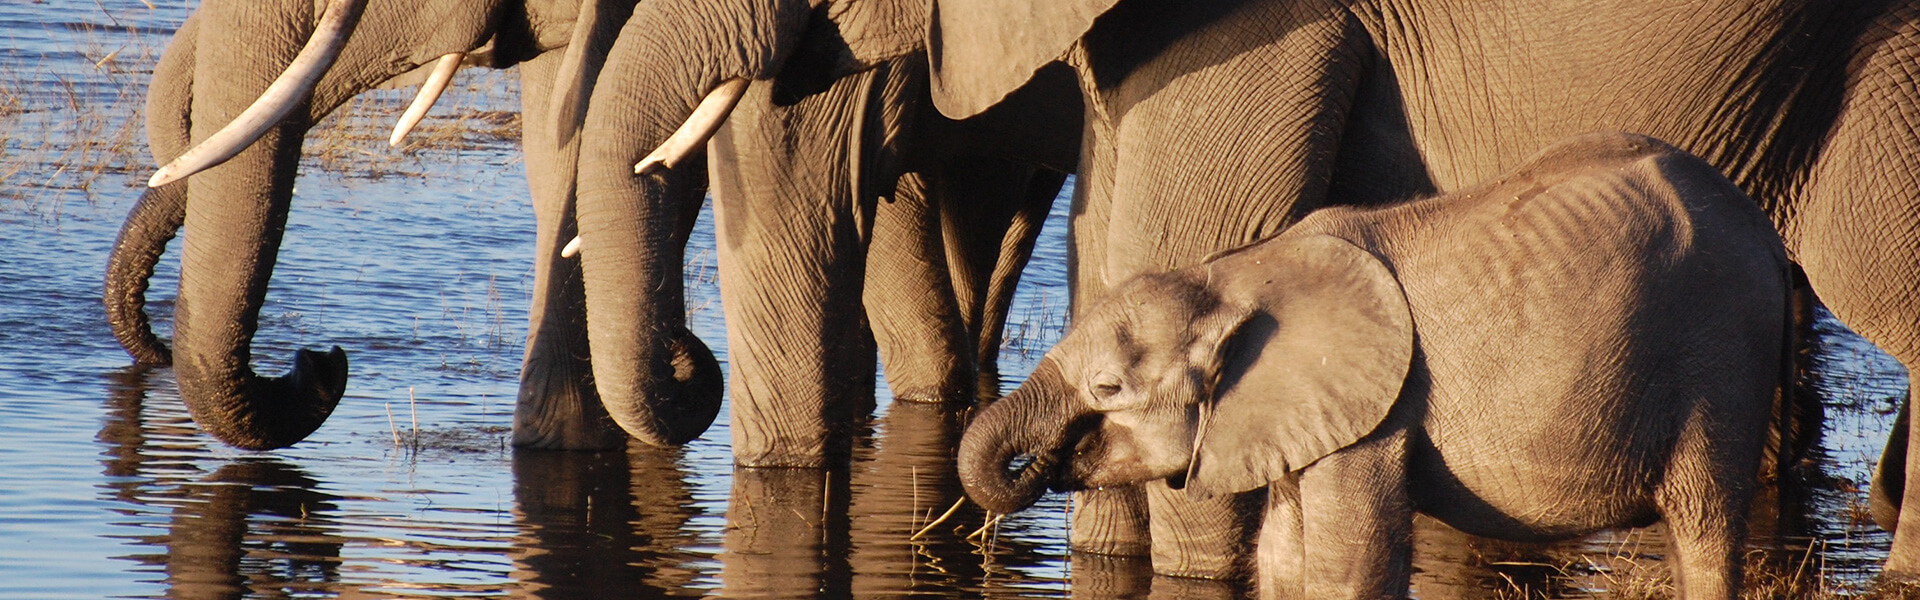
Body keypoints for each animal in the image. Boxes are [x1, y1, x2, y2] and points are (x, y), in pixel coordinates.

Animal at [960, 134, 1797, 600]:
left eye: (1109, 388)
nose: (1043, 462)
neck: (1236, 274)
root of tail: (1766, 234)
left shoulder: (1377, 413)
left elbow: (1346, 570)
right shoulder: (1297, 416)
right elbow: (1283, 563)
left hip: (1723, 355)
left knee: (1703, 525)